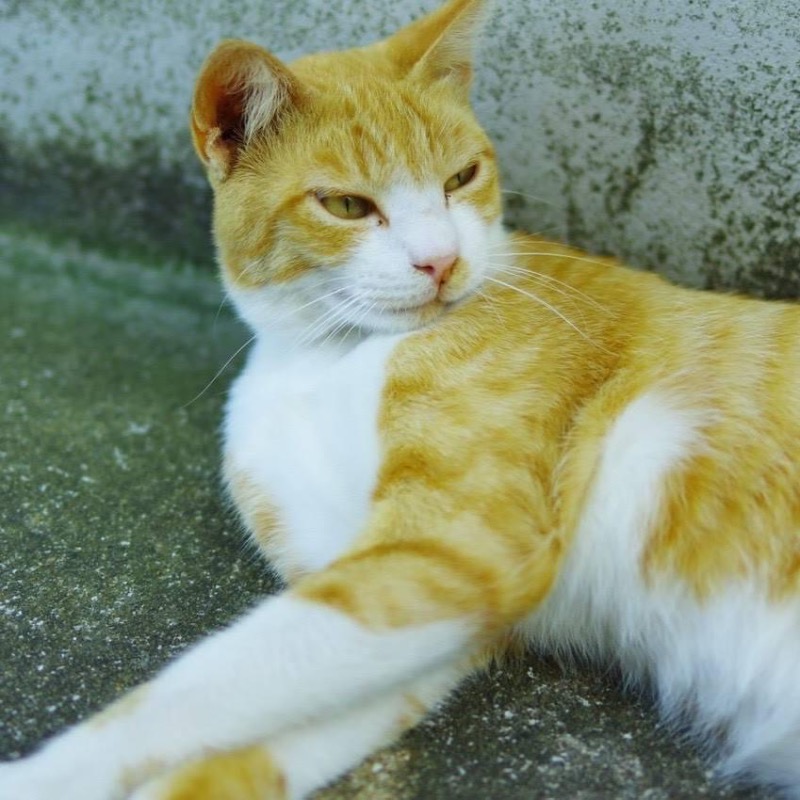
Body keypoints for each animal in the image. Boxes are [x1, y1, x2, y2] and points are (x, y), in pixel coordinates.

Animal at [1, 0, 800, 796]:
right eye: (347, 205)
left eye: (462, 176)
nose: (441, 261)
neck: (322, 355)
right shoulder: (422, 606)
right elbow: (241, 746)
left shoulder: (452, 548)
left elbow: (189, 694)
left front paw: (41, 774)